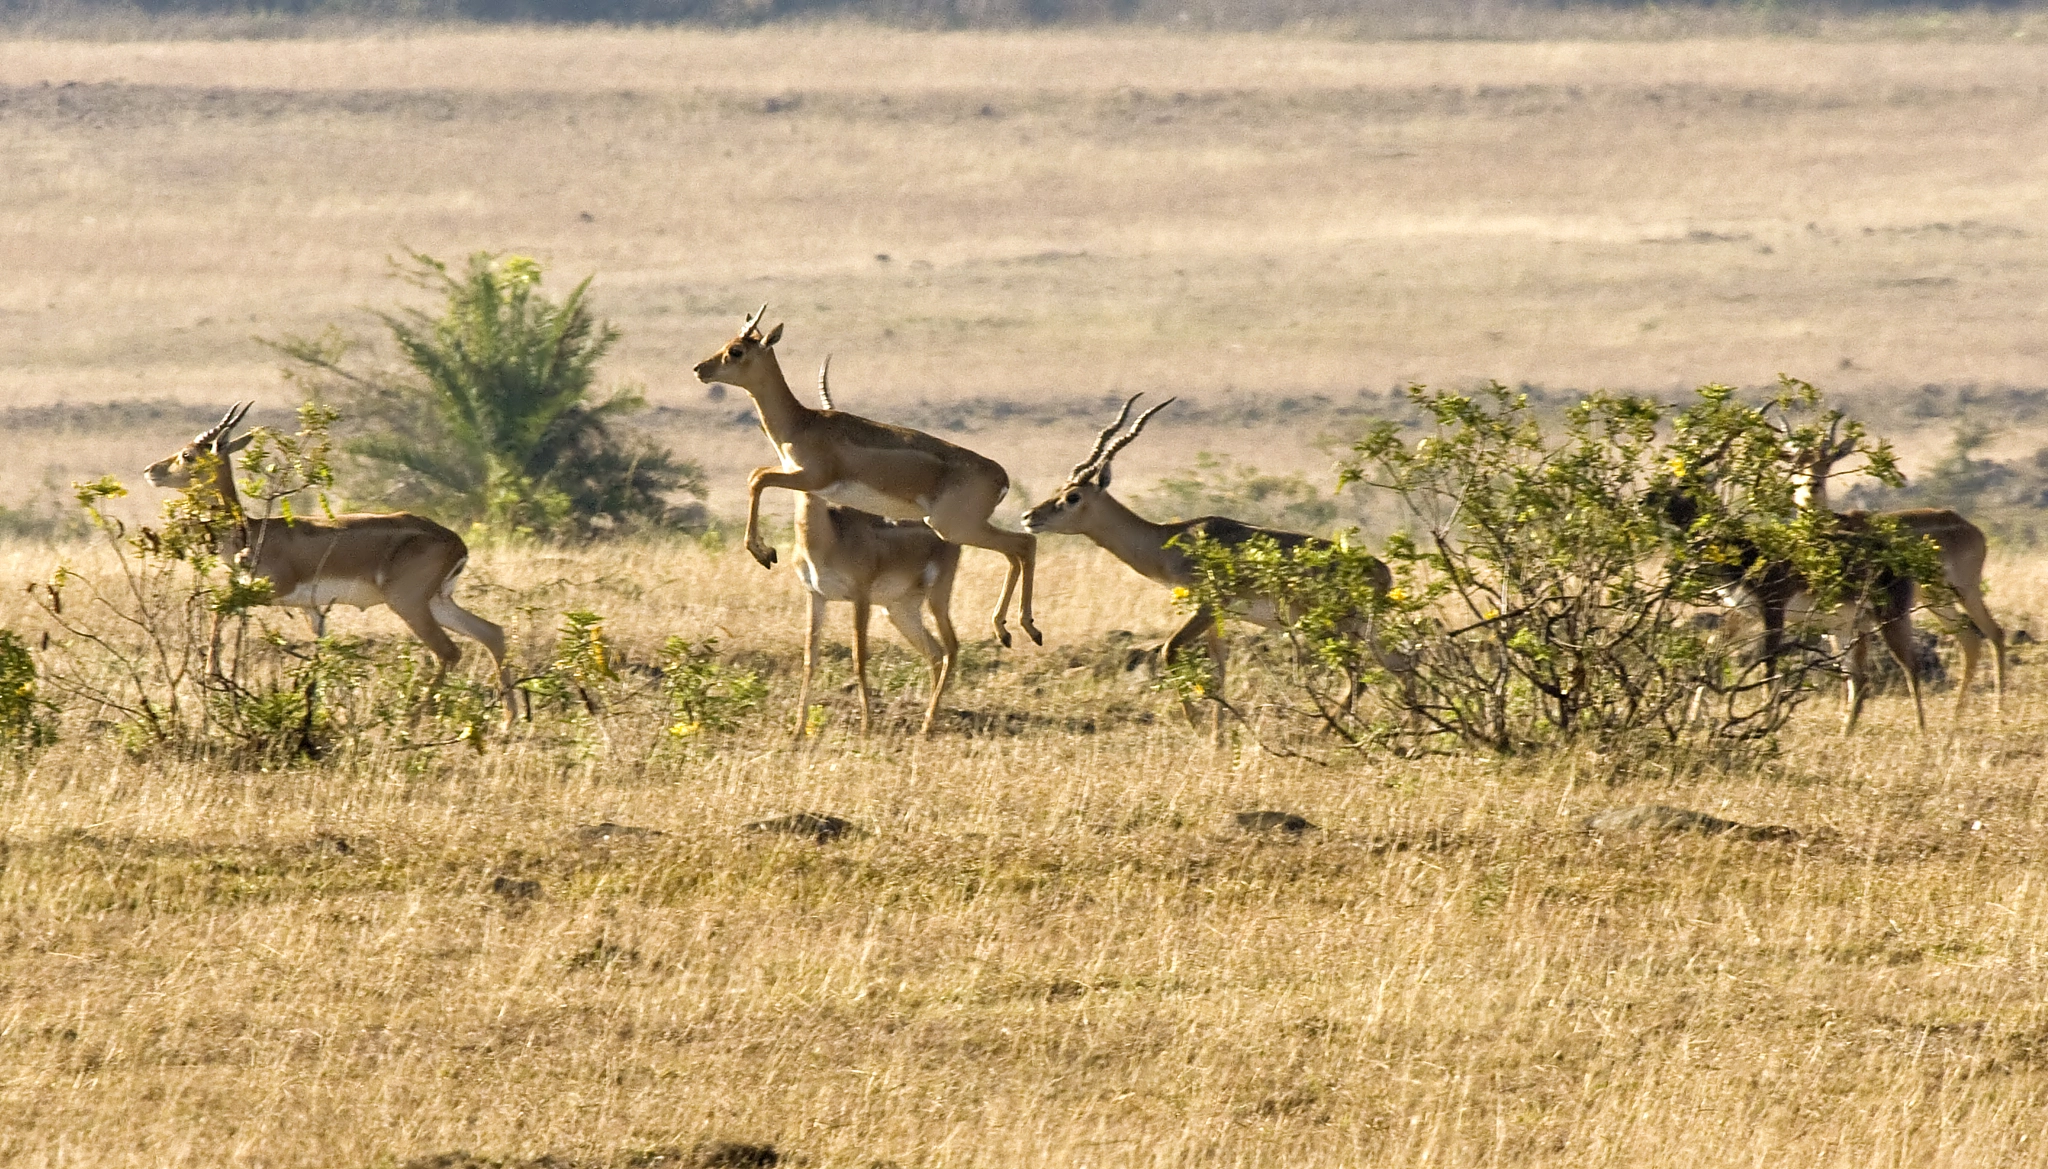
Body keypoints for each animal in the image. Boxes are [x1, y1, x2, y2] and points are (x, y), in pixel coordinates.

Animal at [145, 405, 512, 724]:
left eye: (188, 455)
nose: (151, 471)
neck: (252, 532)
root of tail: (455, 542)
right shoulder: (314, 610)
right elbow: (320, 654)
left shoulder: (273, 588)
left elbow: (218, 609)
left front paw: (211, 673)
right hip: (438, 602)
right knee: (492, 634)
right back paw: (511, 721)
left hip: (408, 604)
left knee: (449, 652)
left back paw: (410, 719)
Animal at [692, 307, 1040, 651]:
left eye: (736, 350)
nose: (699, 369)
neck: (802, 424)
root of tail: (1002, 477)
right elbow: (757, 476)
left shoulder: (809, 479)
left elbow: (757, 478)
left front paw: (763, 553)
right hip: (963, 529)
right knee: (1015, 551)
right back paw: (1007, 630)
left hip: (954, 527)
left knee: (1025, 544)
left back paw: (1026, 627)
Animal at [794, 362, 962, 737]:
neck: (828, 539)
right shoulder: (816, 596)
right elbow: (810, 658)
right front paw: (797, 729)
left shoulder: (861, 597)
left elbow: (859, 656)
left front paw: (867, 725)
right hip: (900, 609)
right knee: (934, 652)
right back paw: (928, 720)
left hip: (935, 597)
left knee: (951, 648)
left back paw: (928, 725)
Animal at [1785, 415, 2007, 716]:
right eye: (1796, 463)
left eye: (1827, 461)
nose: (1812, 486)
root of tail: (1970, 527)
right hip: (1937, 598)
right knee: (1970, 639)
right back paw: (1956, 714)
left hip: (1965, 589)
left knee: (1994, 633)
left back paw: (1998, 711)